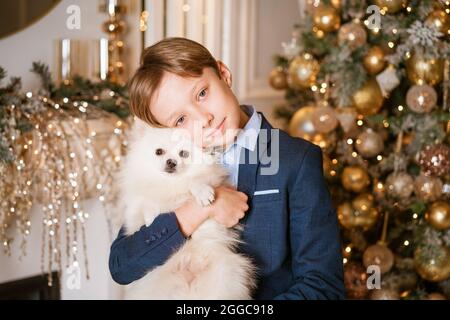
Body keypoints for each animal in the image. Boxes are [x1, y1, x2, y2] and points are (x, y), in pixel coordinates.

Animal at [118, 119, 255, 300]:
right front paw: (151, 217)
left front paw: (202, 192)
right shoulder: (134, 208)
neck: (170, 184)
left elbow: (194, 181)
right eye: (159, 152)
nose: (171, 162)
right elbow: (146, 203)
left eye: (183, 154)